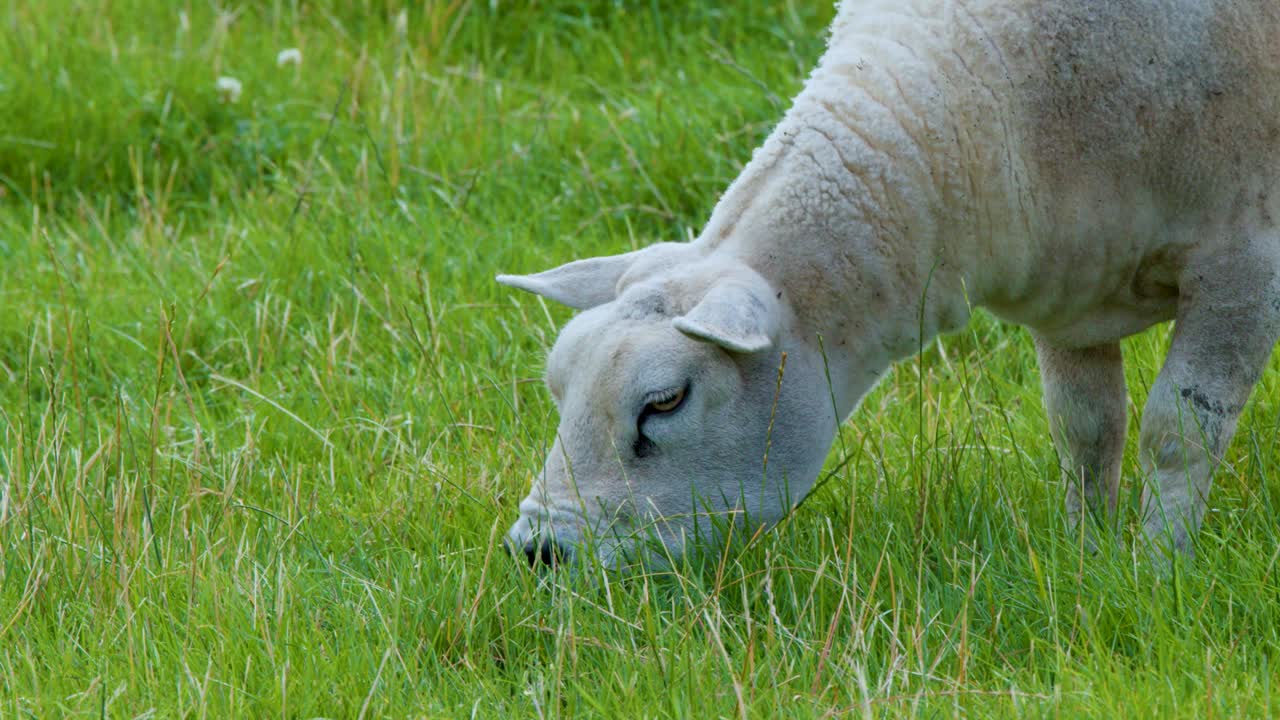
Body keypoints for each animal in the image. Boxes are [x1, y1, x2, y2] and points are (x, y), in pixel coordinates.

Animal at [498, 0, 1280, 568]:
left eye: (665, 402)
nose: (539, 551)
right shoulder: (1072, 288)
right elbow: (1086, 429)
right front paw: (1087, 557)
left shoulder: (1244, 264)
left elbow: (1177, 433)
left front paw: (1159, 568)